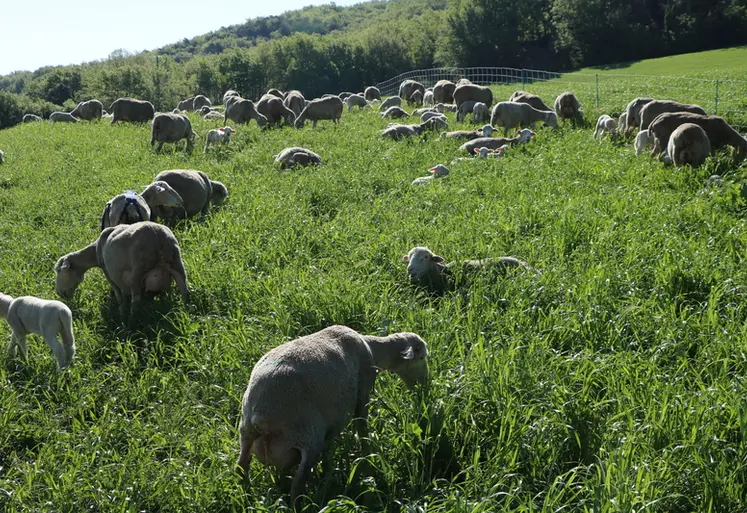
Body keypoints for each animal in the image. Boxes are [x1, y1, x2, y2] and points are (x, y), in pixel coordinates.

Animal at [55, 222, 188, 322]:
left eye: (60, 272)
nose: (59, 293)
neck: (94, 251)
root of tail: (157, 235)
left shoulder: (108, 272)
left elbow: (119, 294)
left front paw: (121, 311)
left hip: (137, 271)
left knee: (136, 299)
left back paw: (130, 321)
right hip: (176, 263)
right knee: (184, 291)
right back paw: (187, 311)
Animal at [237, 322, 430, 506]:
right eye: (421, 357)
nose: (425, 386)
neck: (372, 349)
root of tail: (260, 414)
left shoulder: (331, 425)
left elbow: (328, 451)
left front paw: (328, 472)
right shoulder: (363, 392)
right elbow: (362, 428)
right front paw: (368, 459)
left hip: (246, 431)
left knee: (241, 467)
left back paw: (247, 498)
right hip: (307, 436)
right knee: (298, 483)